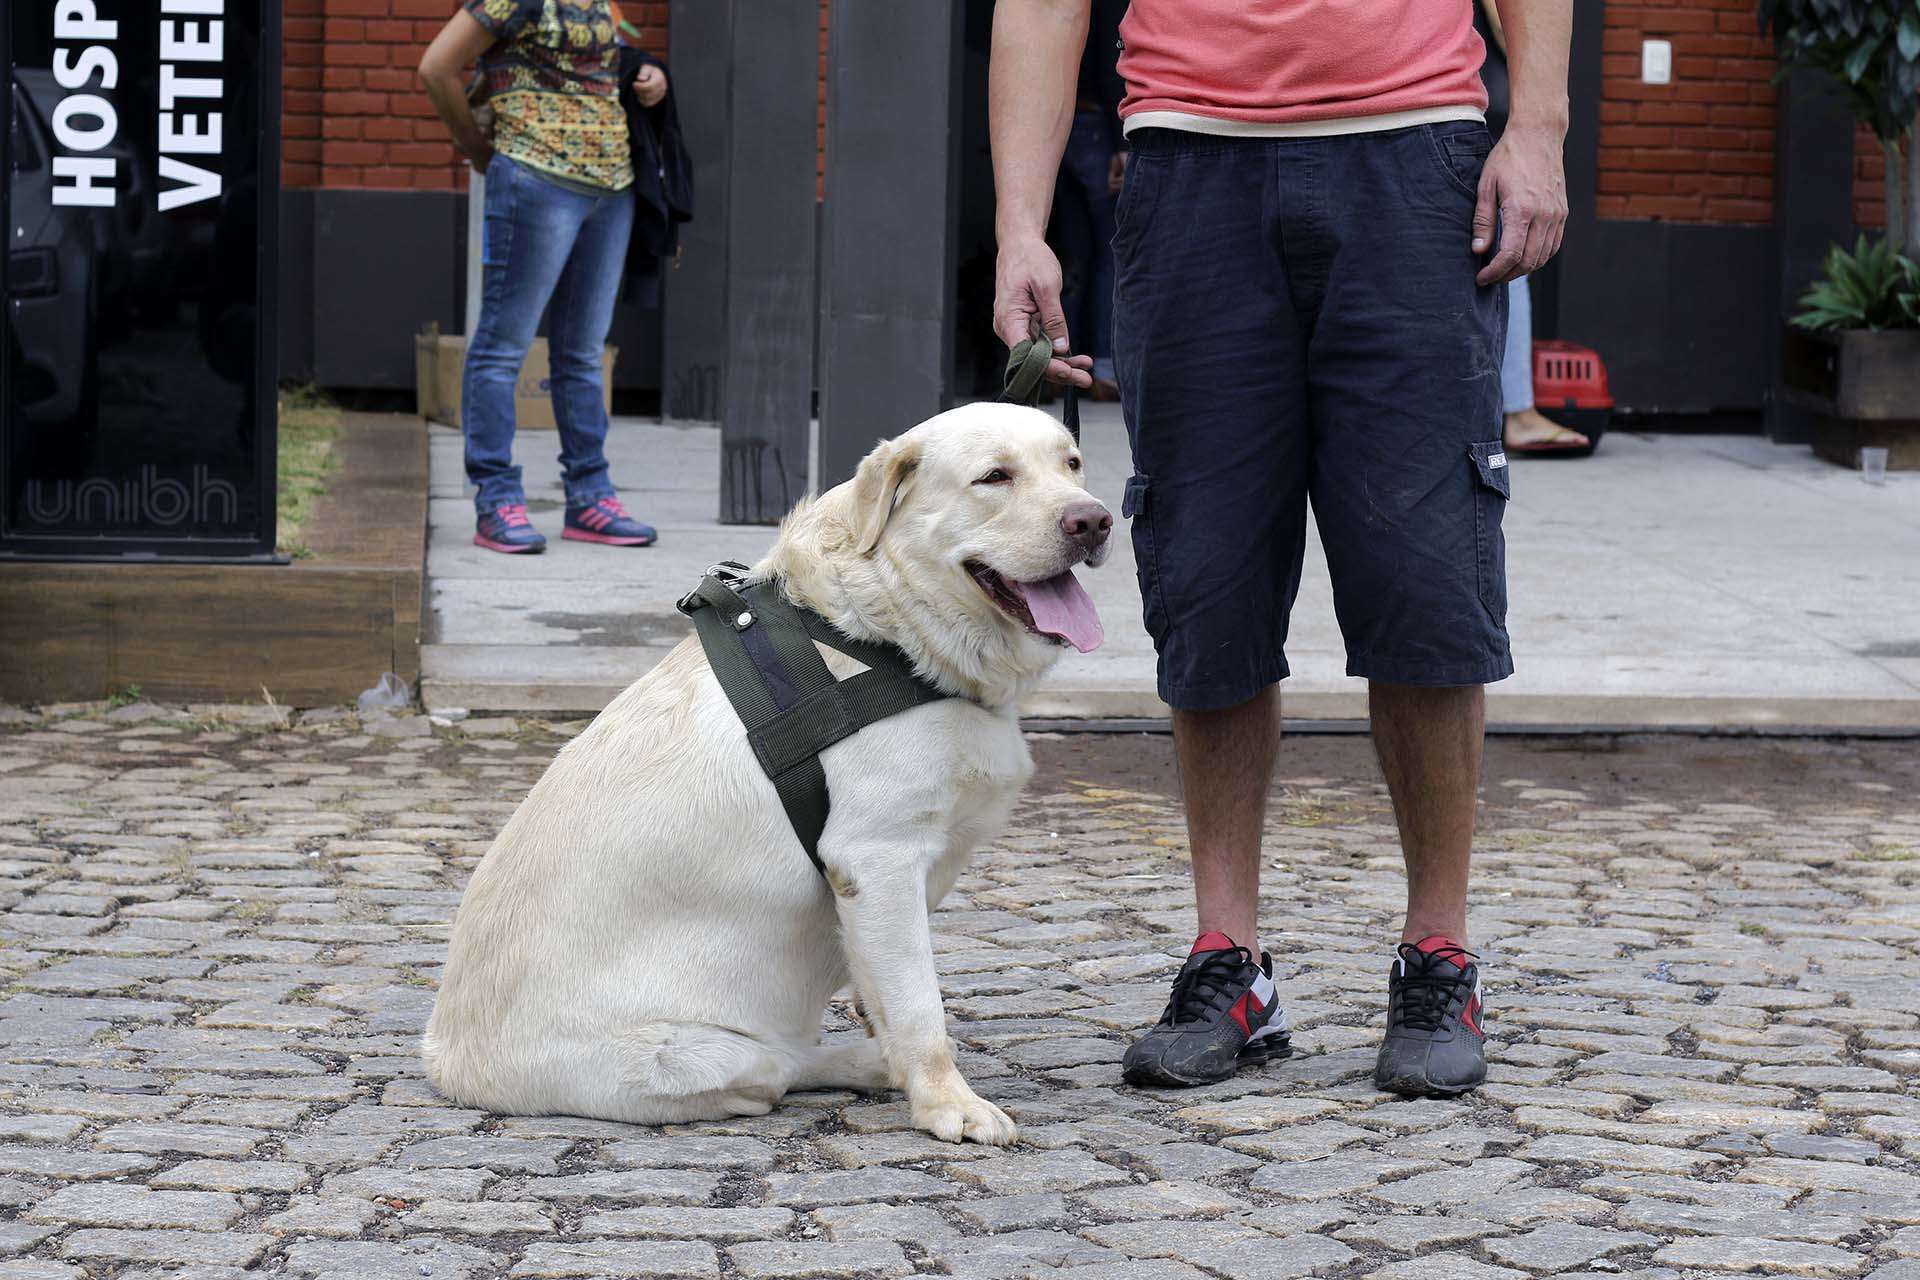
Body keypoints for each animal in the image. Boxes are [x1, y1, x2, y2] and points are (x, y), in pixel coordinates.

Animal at [420, 404, 1113, 1143]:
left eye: (1072, 464)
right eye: (994, 477)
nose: (1094, 521)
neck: (888, 629)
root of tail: (450, 1067)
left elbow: (882, 992)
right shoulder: (877, 859)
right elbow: (919, 1005)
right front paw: (948, 1103)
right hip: (700, 1056)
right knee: (779, 1067)